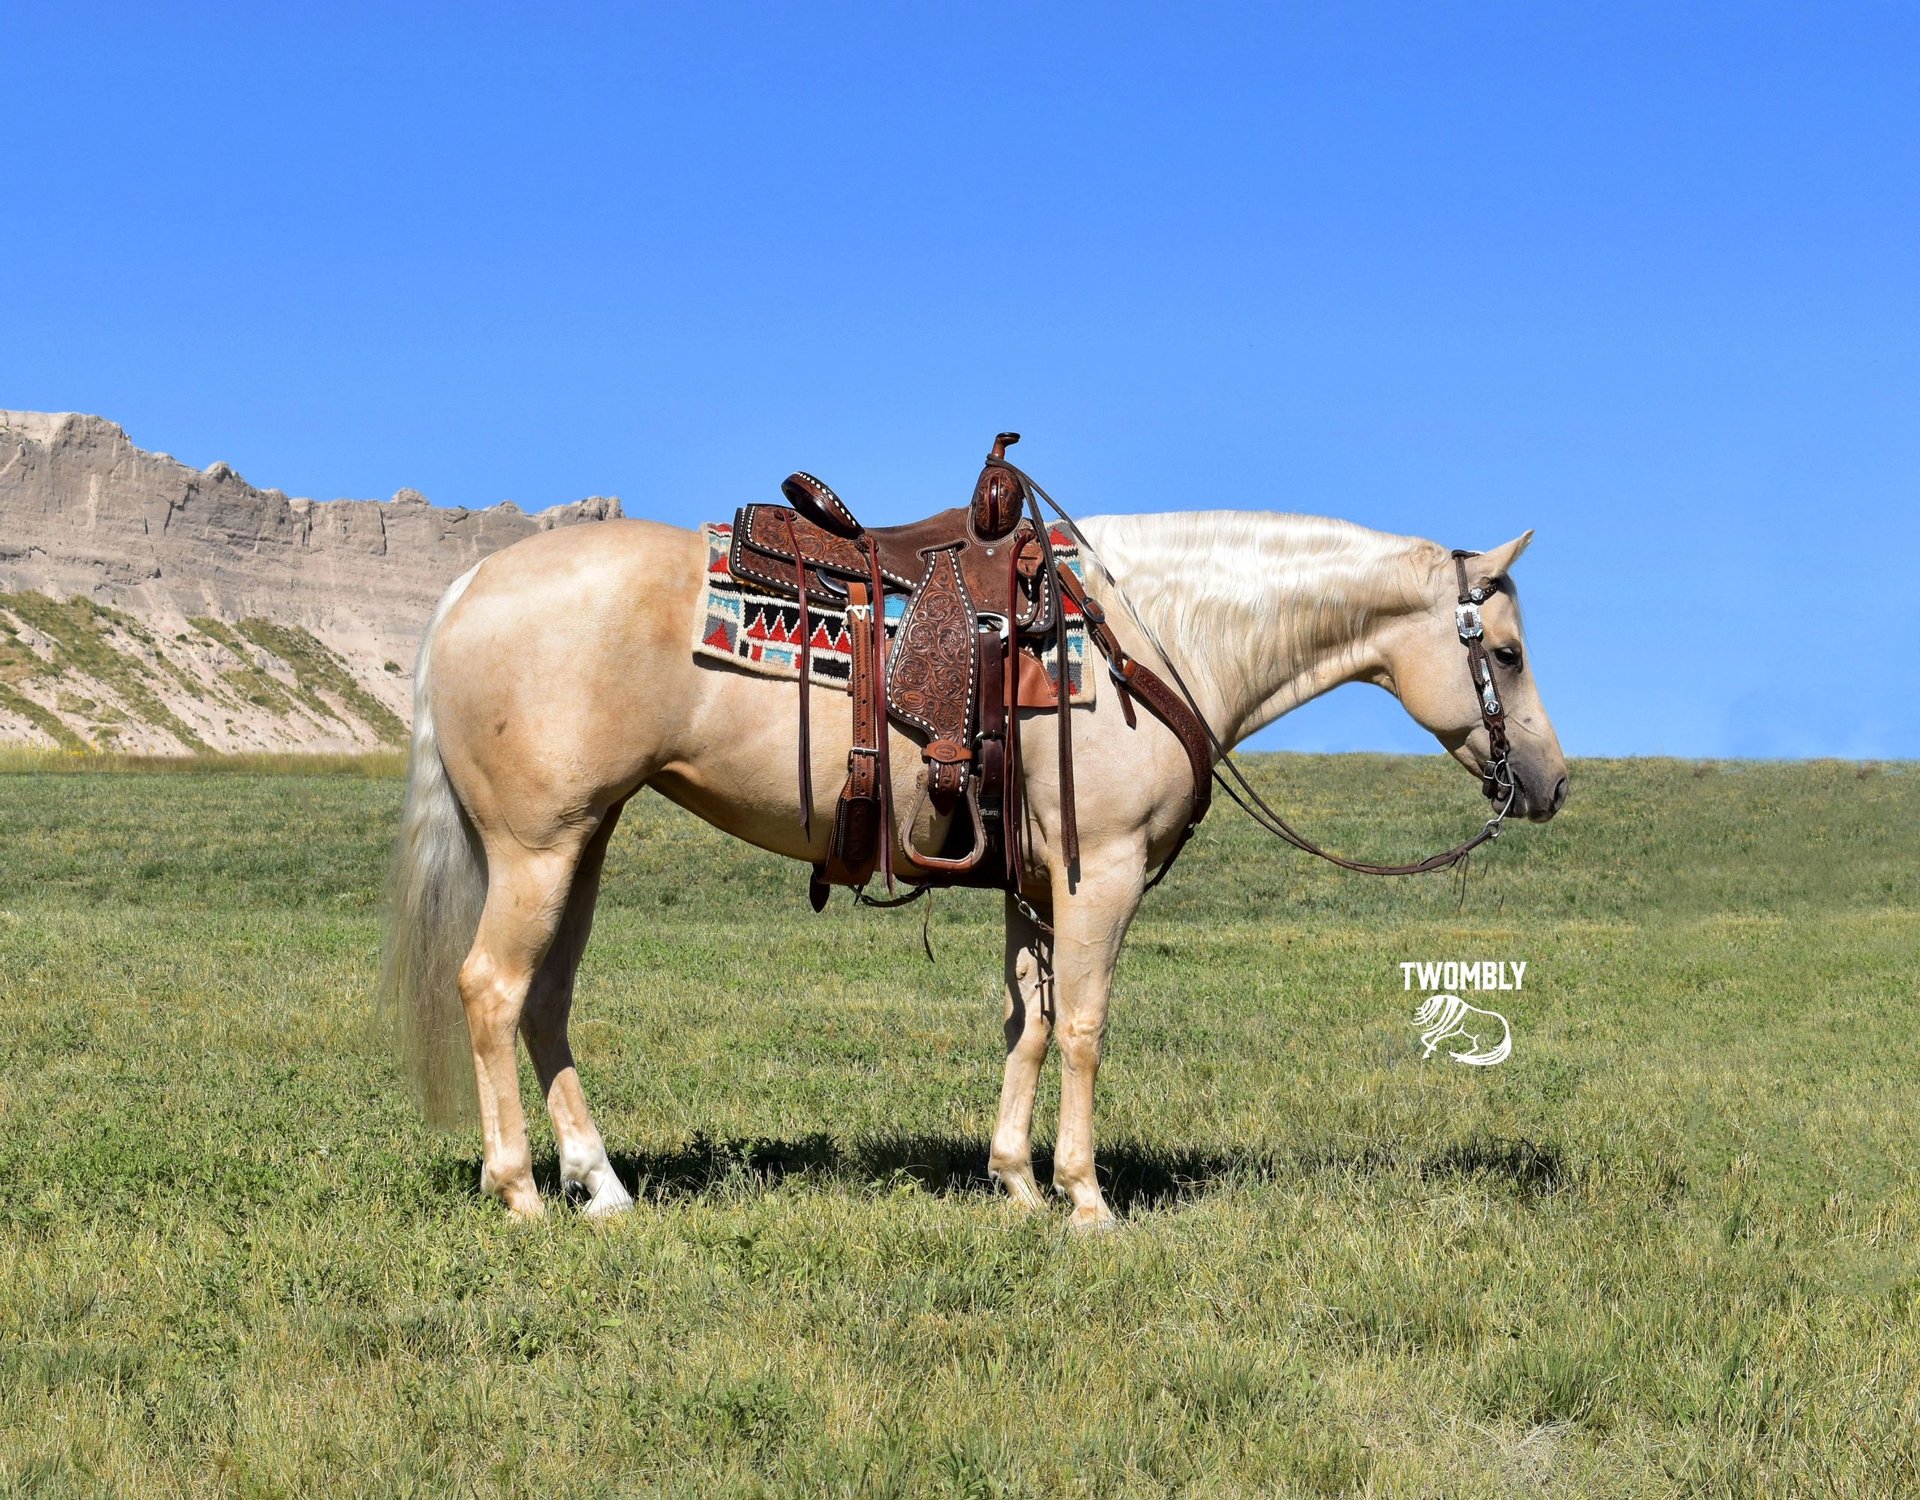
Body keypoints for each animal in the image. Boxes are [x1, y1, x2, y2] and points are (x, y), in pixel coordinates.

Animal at [379, 507, 1567, 1227]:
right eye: (1506, 653)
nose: (1550, 784)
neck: (1153, 636)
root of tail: (471, 583)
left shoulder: (1033, 888)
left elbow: (1026, 1026)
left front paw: (1016, 1183)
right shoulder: (1100, 875)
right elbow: (1083, 1027)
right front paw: (1085, 1199)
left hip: (581, 840)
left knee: (546, 1001)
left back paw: (603, 1184)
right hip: (538, 847)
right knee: (493, 990)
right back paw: (522, 1191)